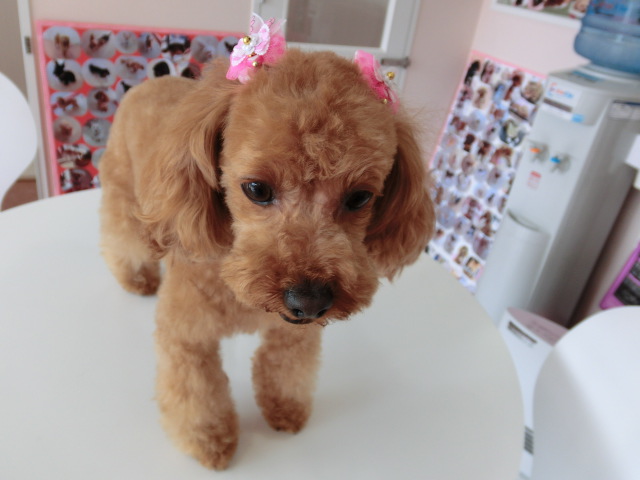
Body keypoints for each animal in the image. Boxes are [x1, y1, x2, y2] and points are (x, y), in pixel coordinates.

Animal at [100, 43, 434, 469]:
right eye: (256, 189)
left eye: (360, 197)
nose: (309, 301)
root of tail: (151, 82)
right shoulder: (186, 336)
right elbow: (197, 393)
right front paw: (210, 439)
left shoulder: (293, 333)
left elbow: (285, 367)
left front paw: (284, 409)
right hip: (123, 191)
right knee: (121, 236)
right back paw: (136, 277)